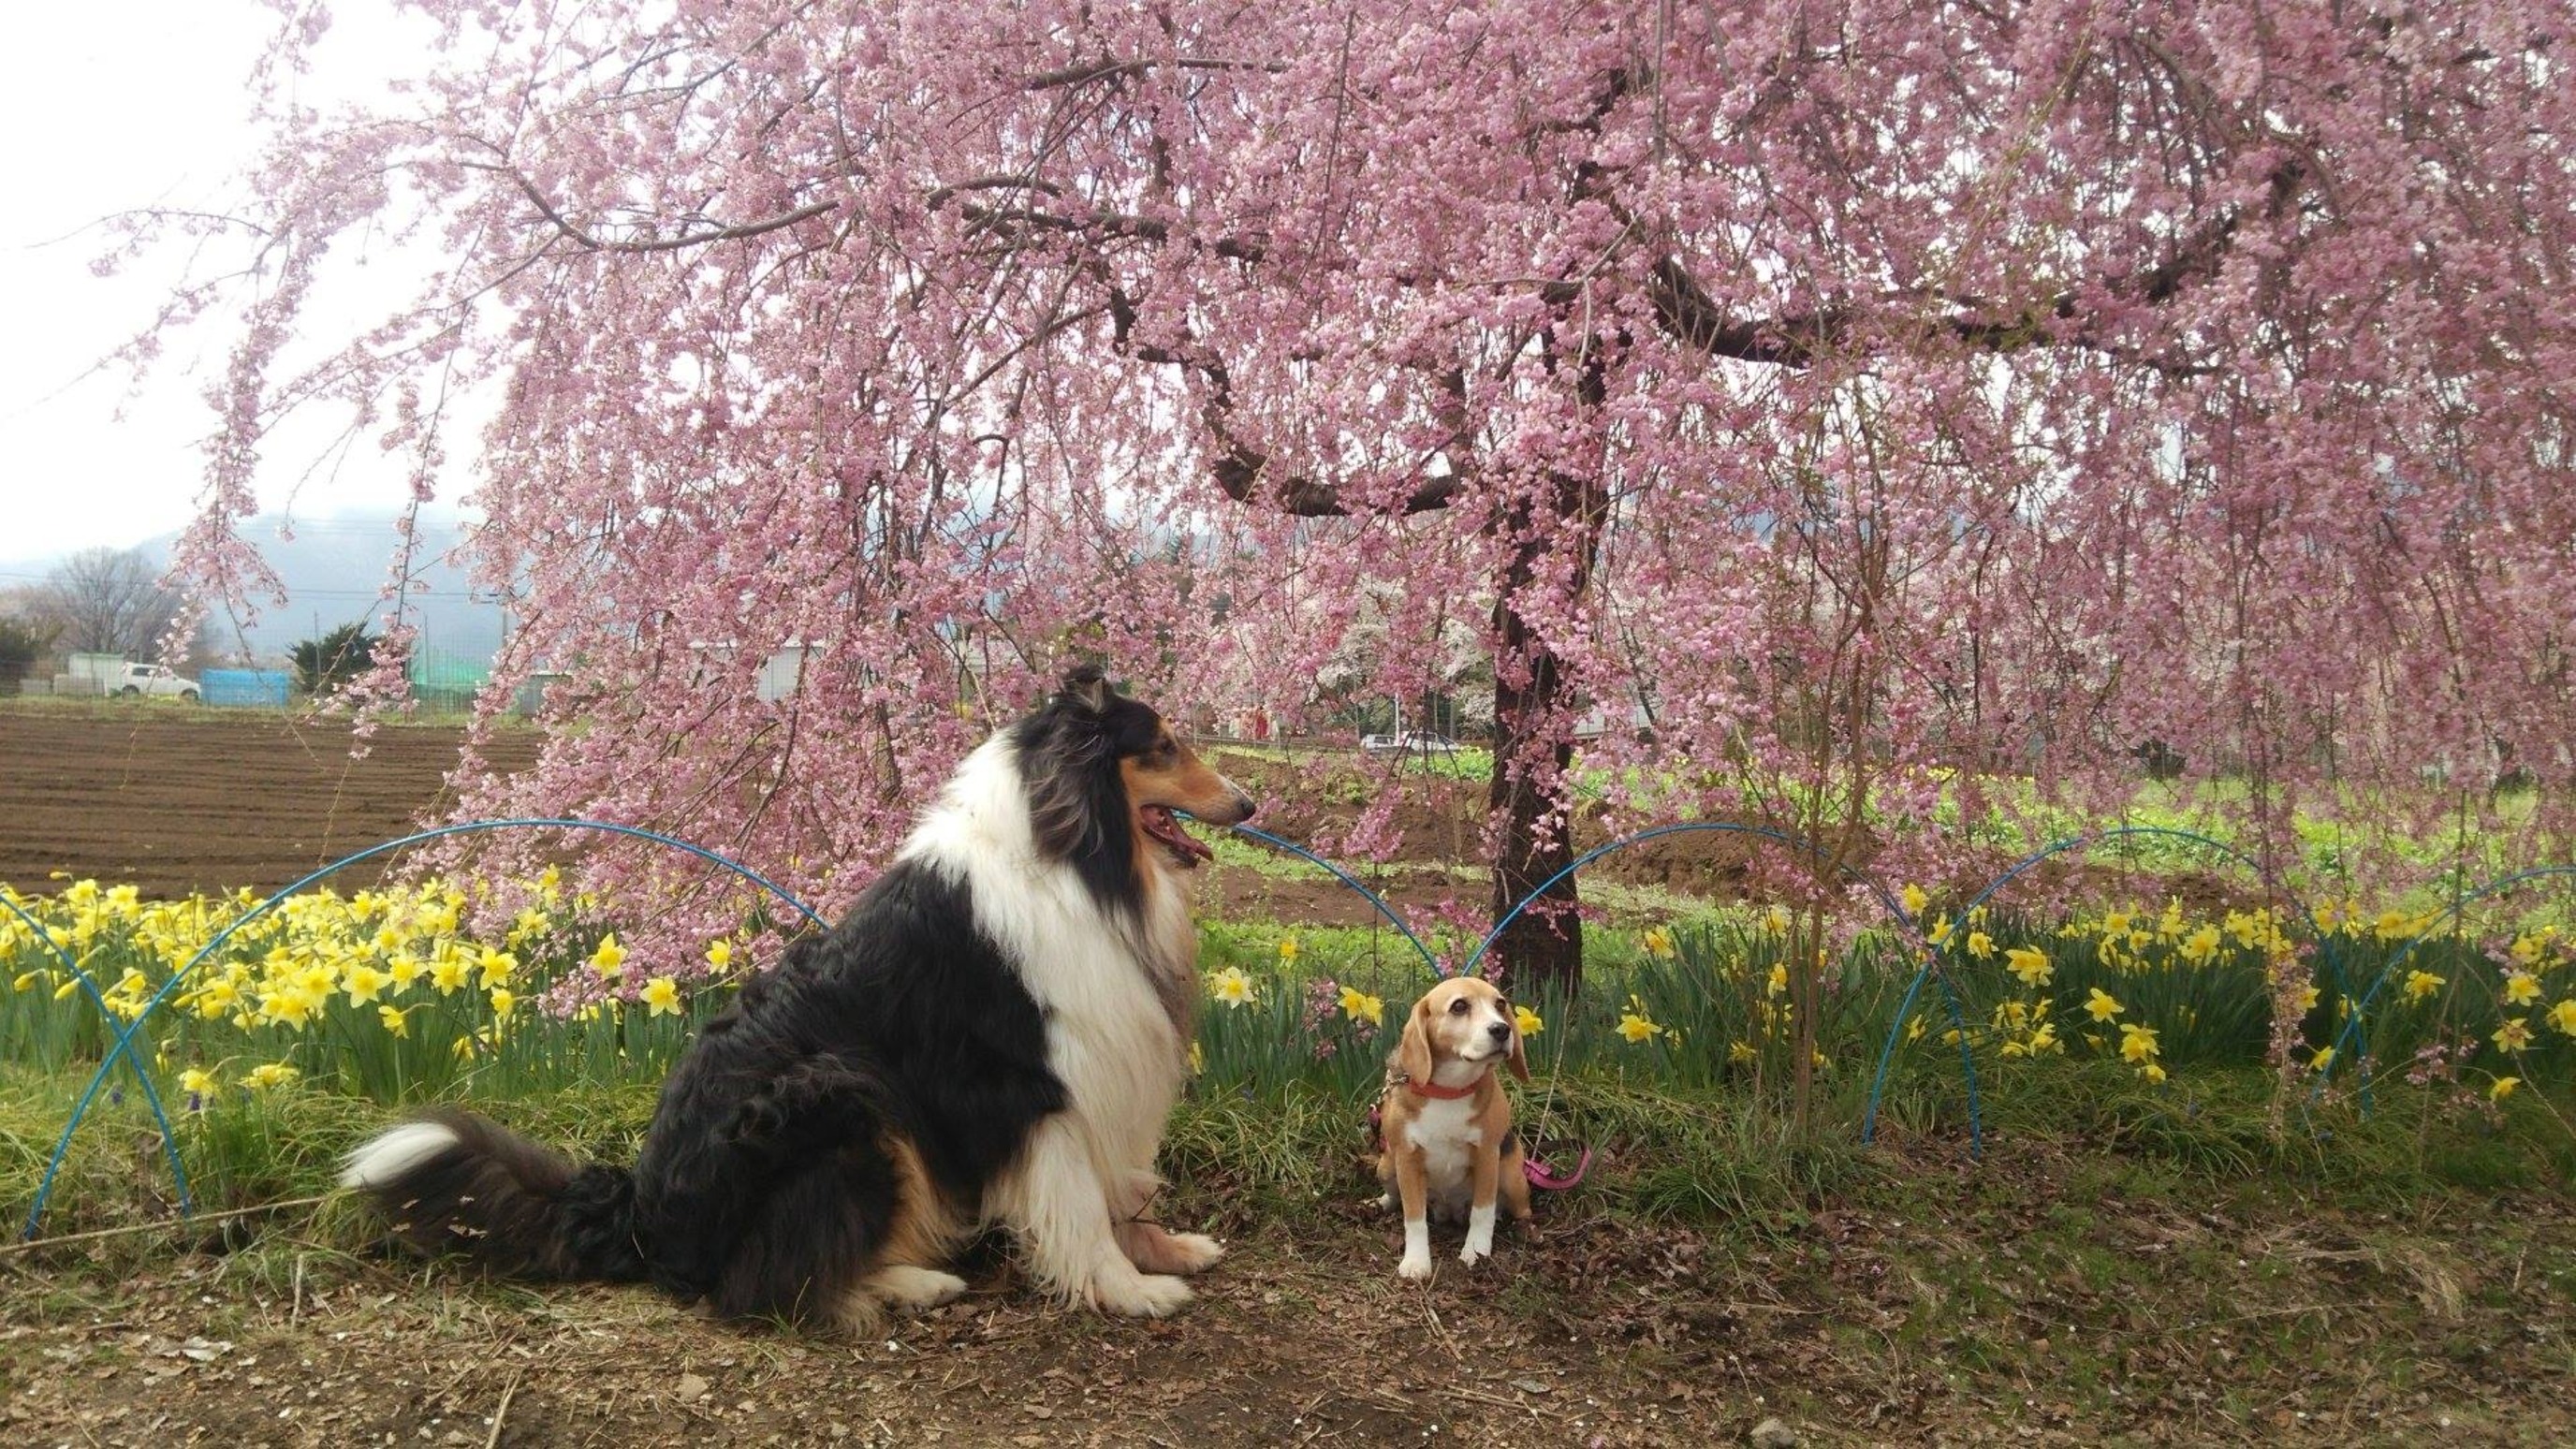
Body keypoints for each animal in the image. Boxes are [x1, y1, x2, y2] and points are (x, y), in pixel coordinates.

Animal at [337, 665, 1262, 1320]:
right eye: (1161, 745)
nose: (1252, 801)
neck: (1071, 857)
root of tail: (641, 1210)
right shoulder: (1040, 1080)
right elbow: (1078, 1202)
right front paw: (1127, 1290)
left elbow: (1115, 1193)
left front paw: (1164, 1250)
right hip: (845, 1091)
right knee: (763, 1285)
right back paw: (906, 1286)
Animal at [1381, 969, 1535, 1273]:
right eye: (1459, 1006)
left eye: (1500, 1004)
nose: (1502, 1029)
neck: (1450, 1090)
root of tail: (1448, 1209)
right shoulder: (1406, 1158)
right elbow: (1414, 1218)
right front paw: (1416, 1262)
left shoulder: (1487, 1155)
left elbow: (1482, 1212)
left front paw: (1476, 1251)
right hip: (1386, 1166)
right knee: (1394, 1195)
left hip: (1511, 1175)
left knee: (1522, 1210)